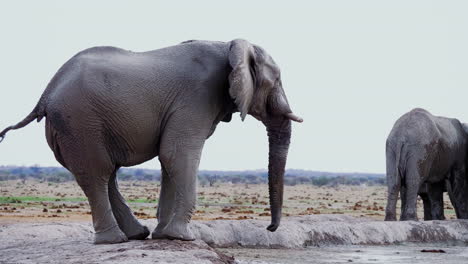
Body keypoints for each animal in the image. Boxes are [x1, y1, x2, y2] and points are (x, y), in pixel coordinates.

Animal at [0, 39, 302, 243]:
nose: (270, 228)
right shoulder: (197, 97)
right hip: (78, 121)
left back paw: (137, 234)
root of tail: (45, 95)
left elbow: (169, 159)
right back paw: (114, 240)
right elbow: (177, 154)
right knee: (97, 174)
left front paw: (163, 236)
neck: (229, 45)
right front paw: (182, 237)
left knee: (105, 174)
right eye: (276, 81)